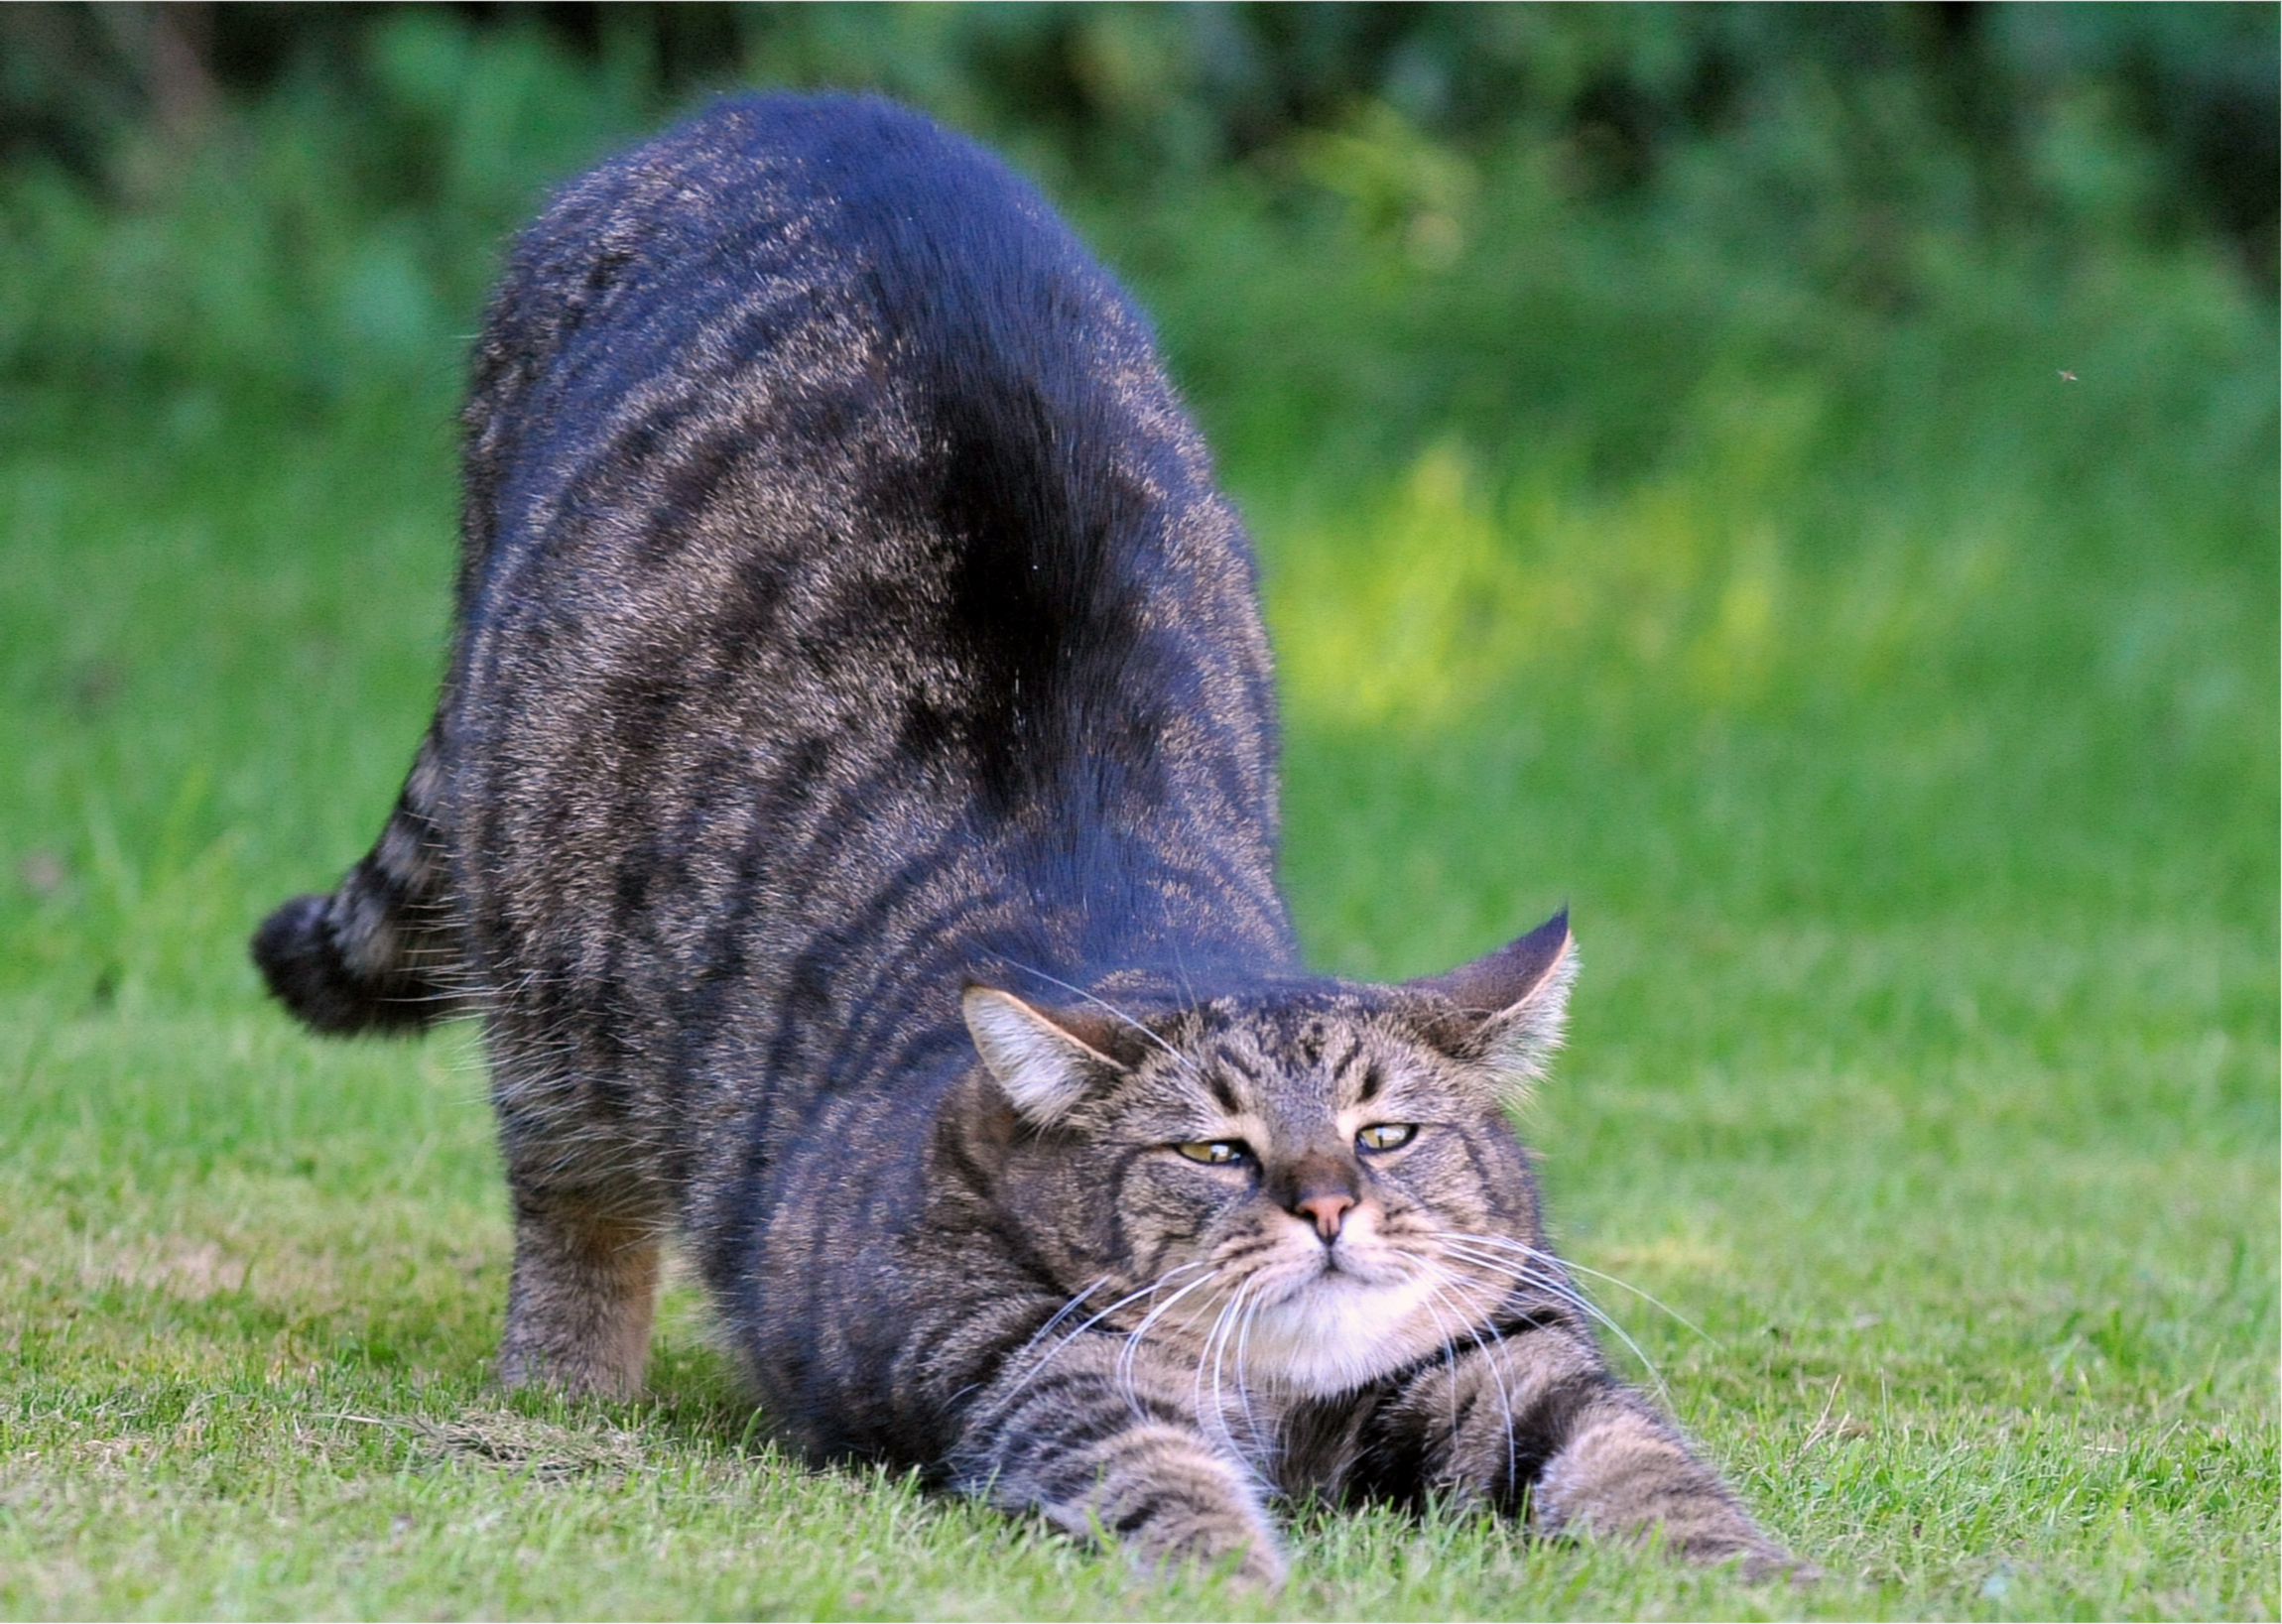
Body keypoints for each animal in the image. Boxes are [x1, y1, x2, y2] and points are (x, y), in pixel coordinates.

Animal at [259, 91, 1798, 1587]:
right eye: (1214, 1151)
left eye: (1388, 1132)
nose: (1326, 1205)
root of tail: (790, 105)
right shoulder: (1005, 1350)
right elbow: (1154, 1463)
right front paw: (1232, 1572)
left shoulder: (1505, 1344)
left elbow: (1630, 1449)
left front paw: (1744, 1562)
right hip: (551, 960)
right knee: (571, 1205)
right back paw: (564, 1389)